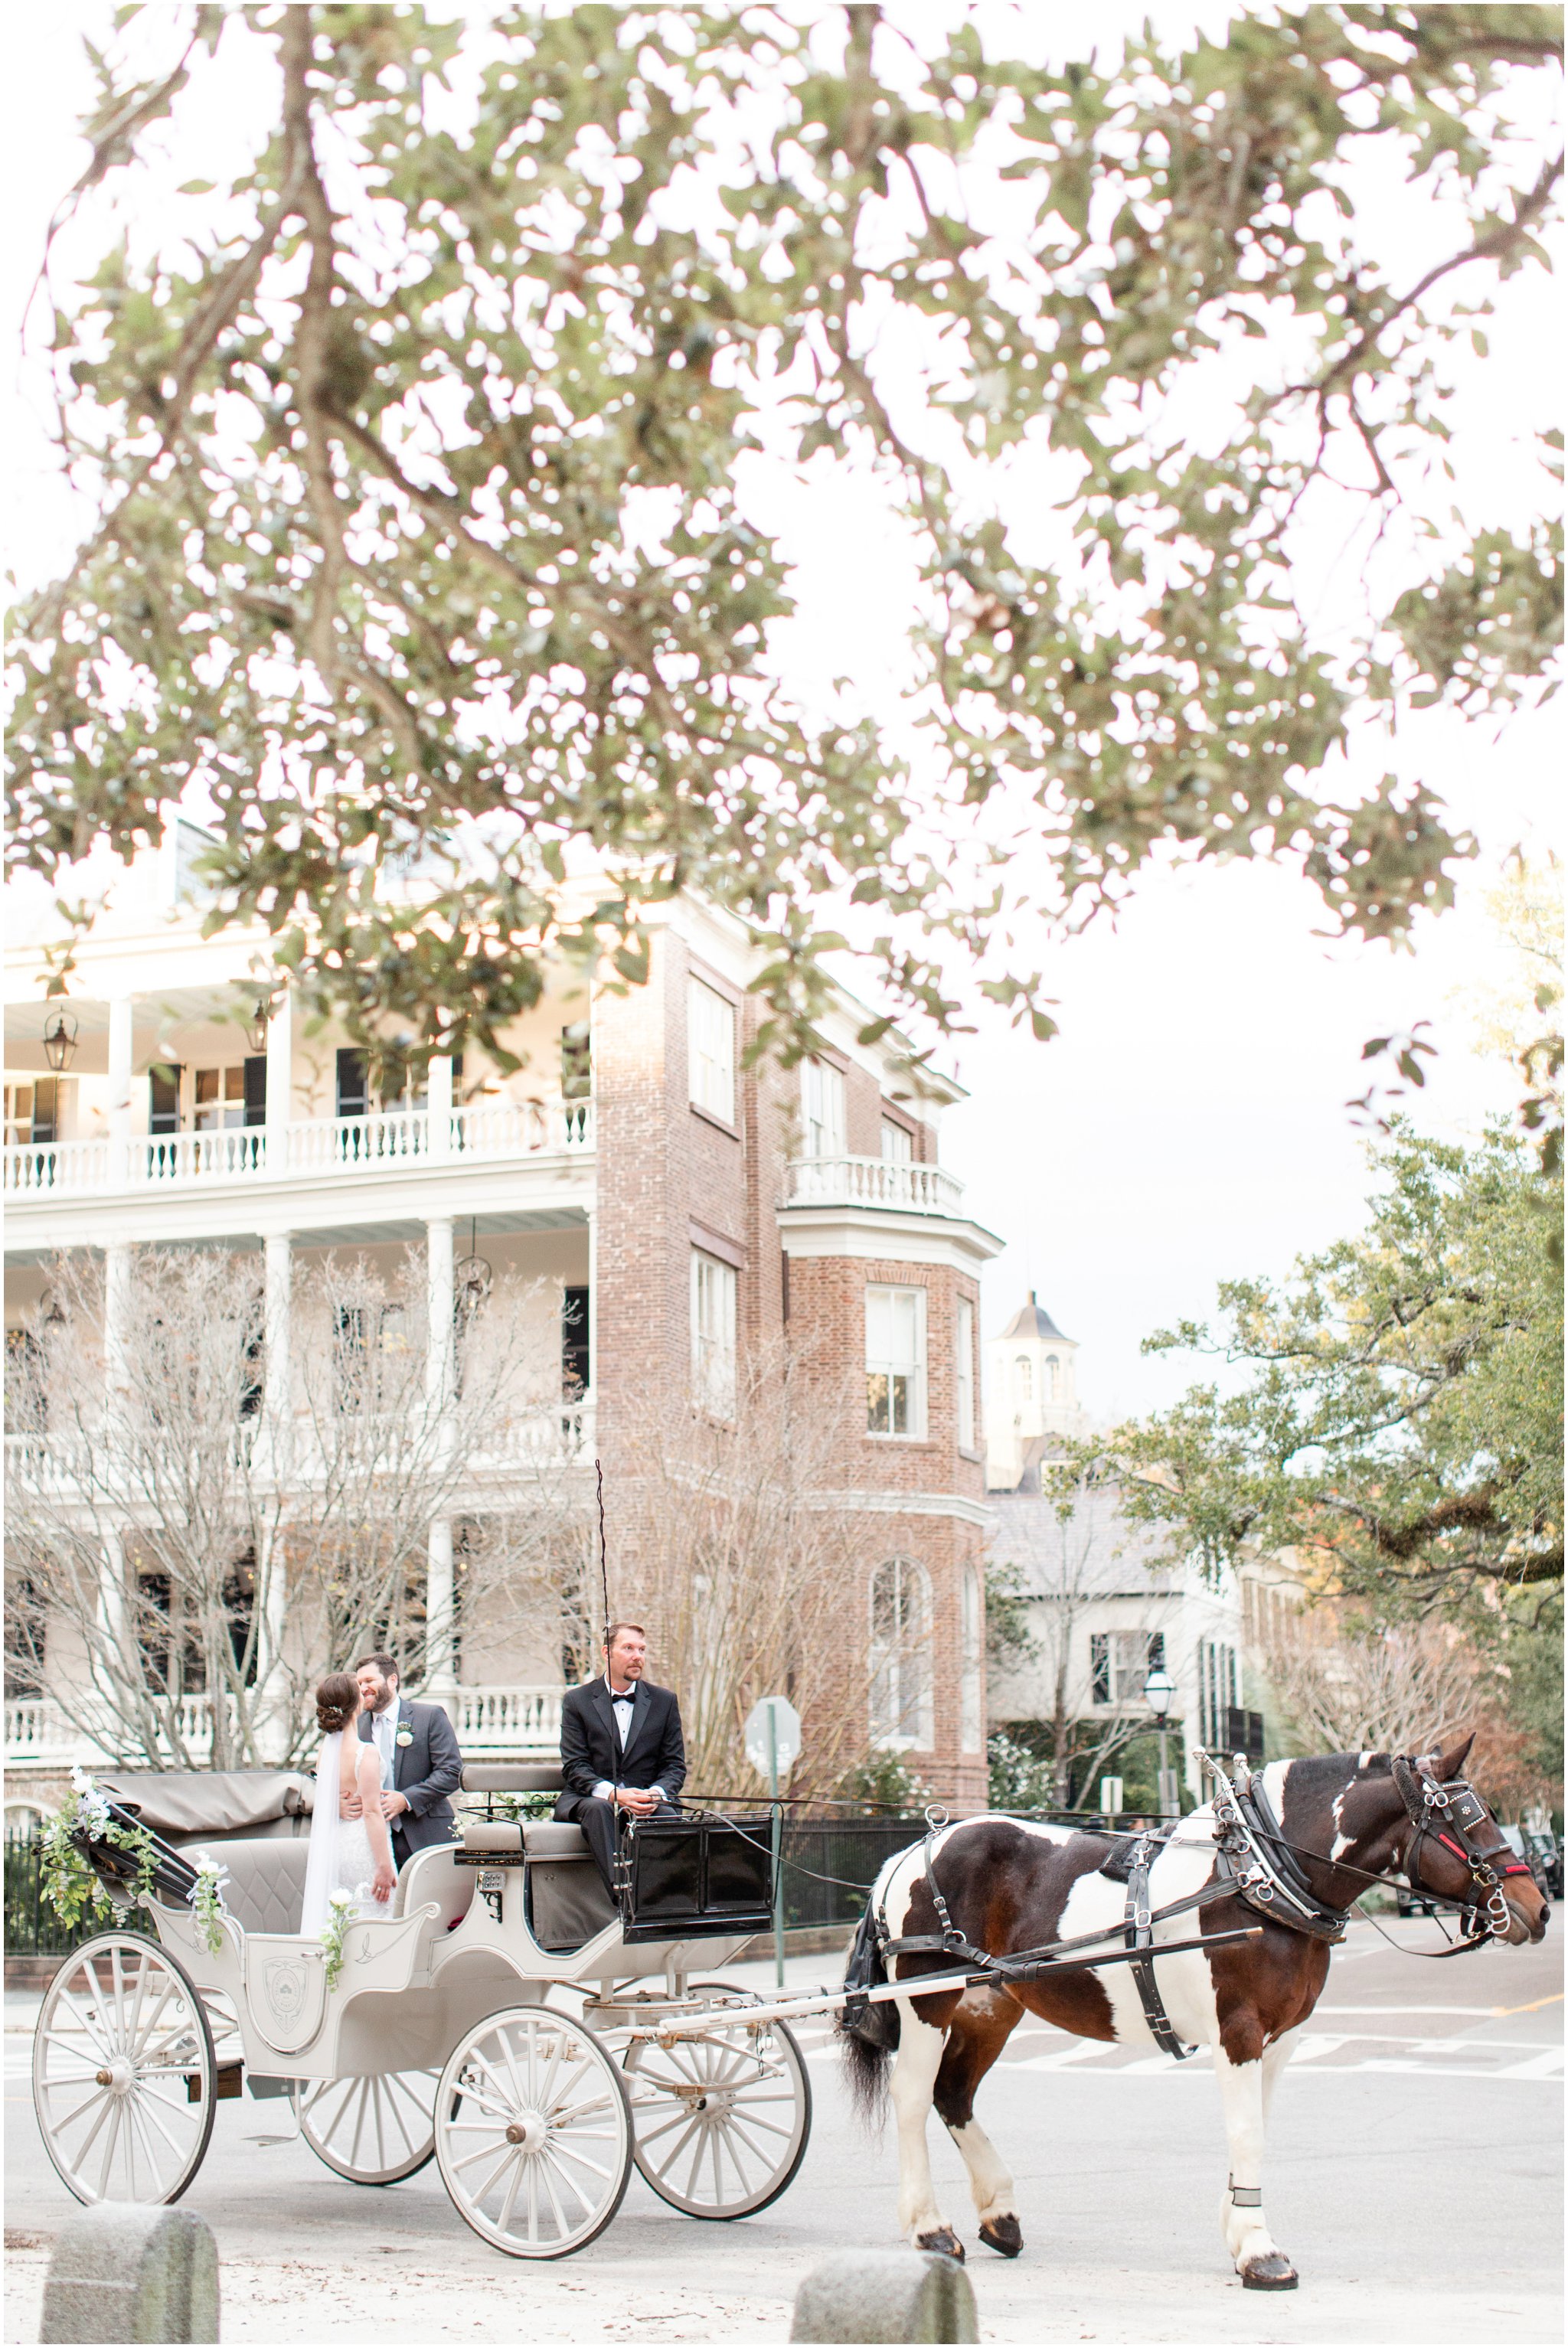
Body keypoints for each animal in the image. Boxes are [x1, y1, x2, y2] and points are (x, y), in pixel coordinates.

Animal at [840, 1737, 1549, 2282]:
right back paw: (931, 2230)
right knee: (913, 2096)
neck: (1259, 1874)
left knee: (954, 2094)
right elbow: (1247, 2131)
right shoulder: (1239, 2031)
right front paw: (1260, 2252)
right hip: (929, 2000)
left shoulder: (1281, 2038)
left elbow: (1257, 2127)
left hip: (990, 2004)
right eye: (1466, 1816)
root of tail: (910, 1851)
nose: (1537, 1907)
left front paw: (1241, 2232)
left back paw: (1000, 2215)